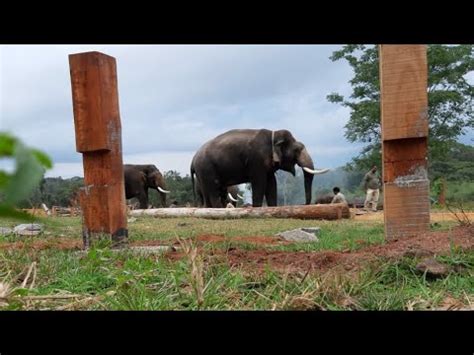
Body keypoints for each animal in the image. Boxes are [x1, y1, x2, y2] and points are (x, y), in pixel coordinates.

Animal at [191, 129, 328, 209]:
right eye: (297, 150)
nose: (304, 204)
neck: (274, 135)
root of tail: (193, 160)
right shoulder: (256, 160)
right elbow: (260, 182)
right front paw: (257, 208)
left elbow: (271, 183)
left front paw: (272, 208)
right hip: (206, 168)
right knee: (213, 189)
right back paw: (217, 209)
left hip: (202, 172)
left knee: (207, 191)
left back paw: (209, 209)